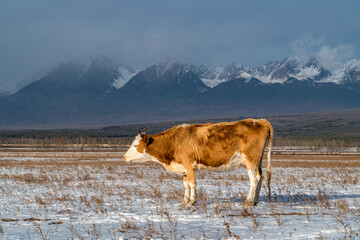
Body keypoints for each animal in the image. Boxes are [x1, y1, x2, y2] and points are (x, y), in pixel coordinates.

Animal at [124, 119, 272, 207]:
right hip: (257, 161)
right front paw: (184, 201)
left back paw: (248, 201)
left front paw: (192, 201)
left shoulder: (189, 165)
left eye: (135, 145)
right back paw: (255, 201)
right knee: (261, 177)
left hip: (251, 160)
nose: (124, 157)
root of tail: (259, 121)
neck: (174, 141)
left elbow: (192, 183)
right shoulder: (183, 168)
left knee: (254, 179)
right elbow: (186, 185)